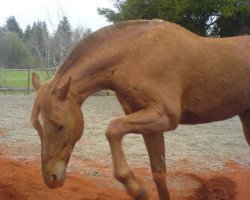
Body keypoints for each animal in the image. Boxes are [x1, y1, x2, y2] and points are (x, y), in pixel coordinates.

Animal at [31, 19, 250, 200]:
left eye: (60, 125)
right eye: (36, 127)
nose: (50, 178)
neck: (135, 55)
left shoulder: (166, 116)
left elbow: (113, 129)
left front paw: (136, 188)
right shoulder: (151, 126)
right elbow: (159, 173)